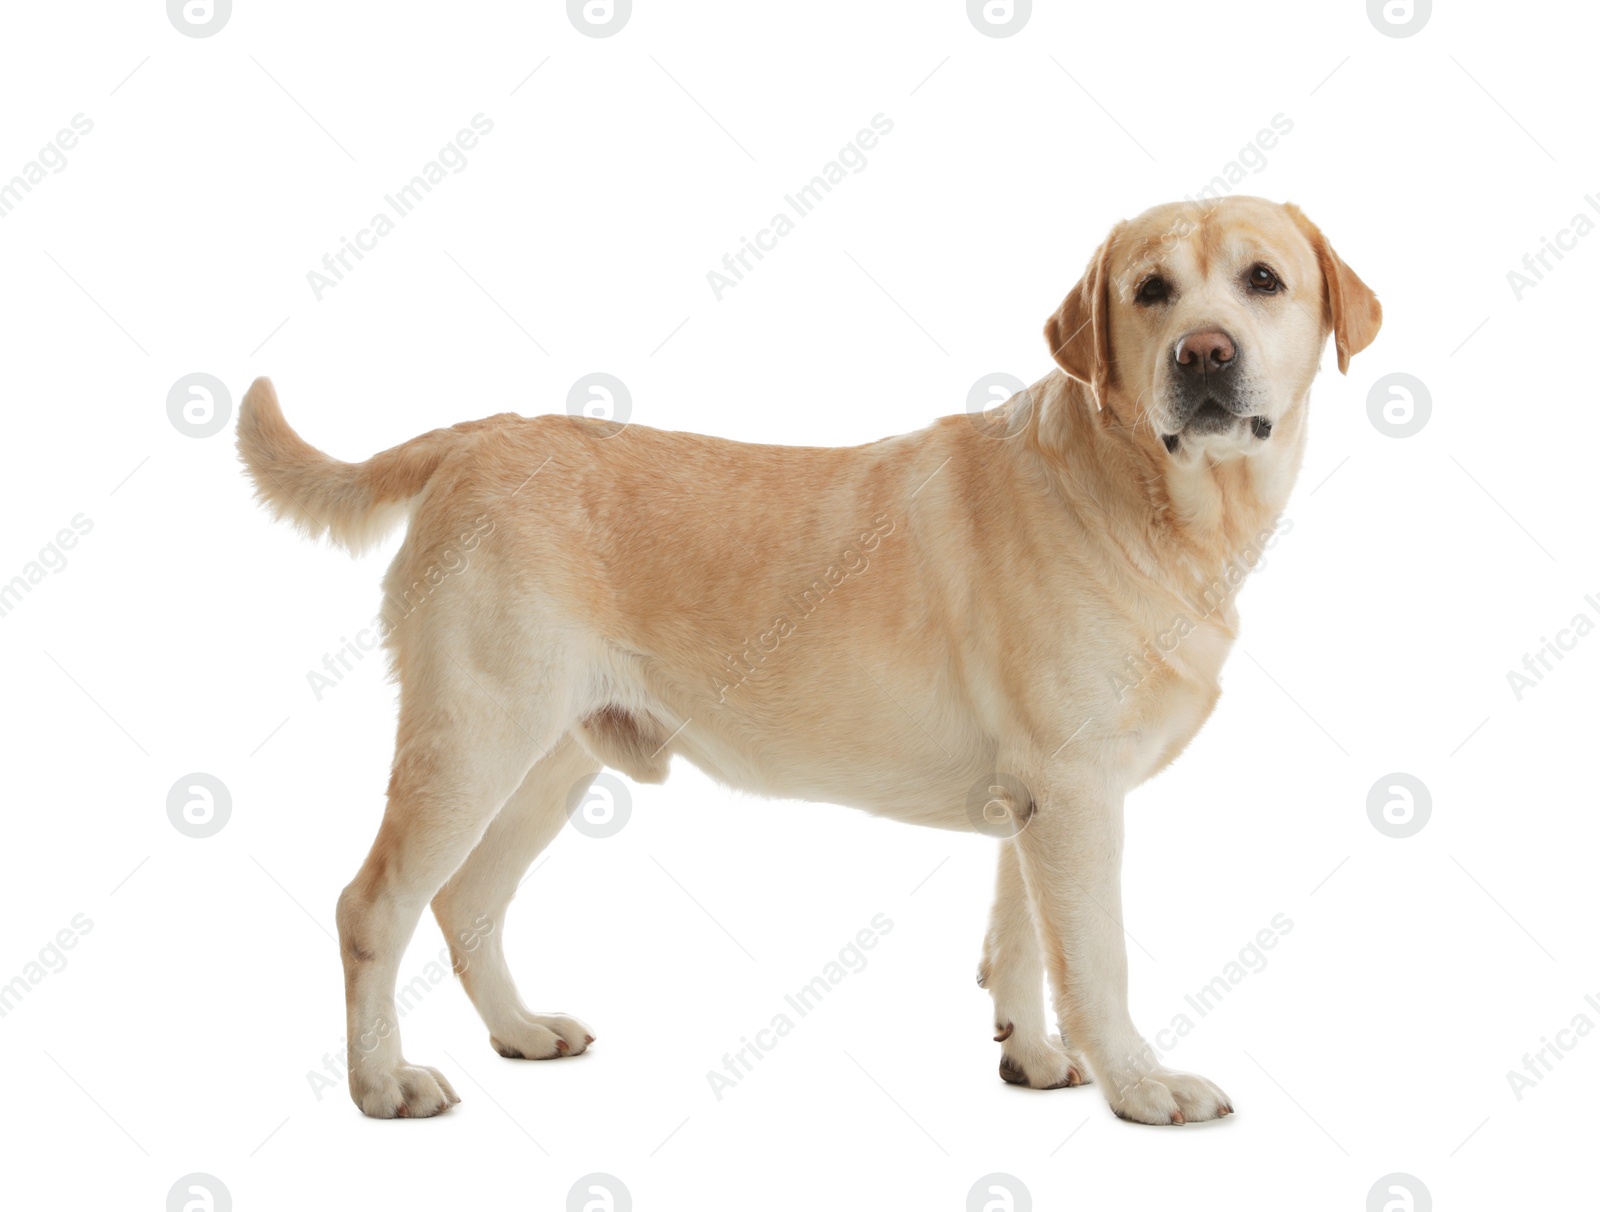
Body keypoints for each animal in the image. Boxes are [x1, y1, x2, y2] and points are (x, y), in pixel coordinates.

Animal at [233, 191, 1376, 1132]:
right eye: (1151, 292)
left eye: (1262, 280)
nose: (1203, 354)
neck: (1144, 494)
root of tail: (472, 436)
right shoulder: (1077, 793)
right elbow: (1094, 961)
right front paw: (1138, 1084)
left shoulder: (1035, 798)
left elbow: (1016, 938)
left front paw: (1034, 1056)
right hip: (474, 736)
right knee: (372, 905)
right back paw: (382, 1083)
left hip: (555, 756)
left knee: (465, 901)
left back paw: (520, 1030)